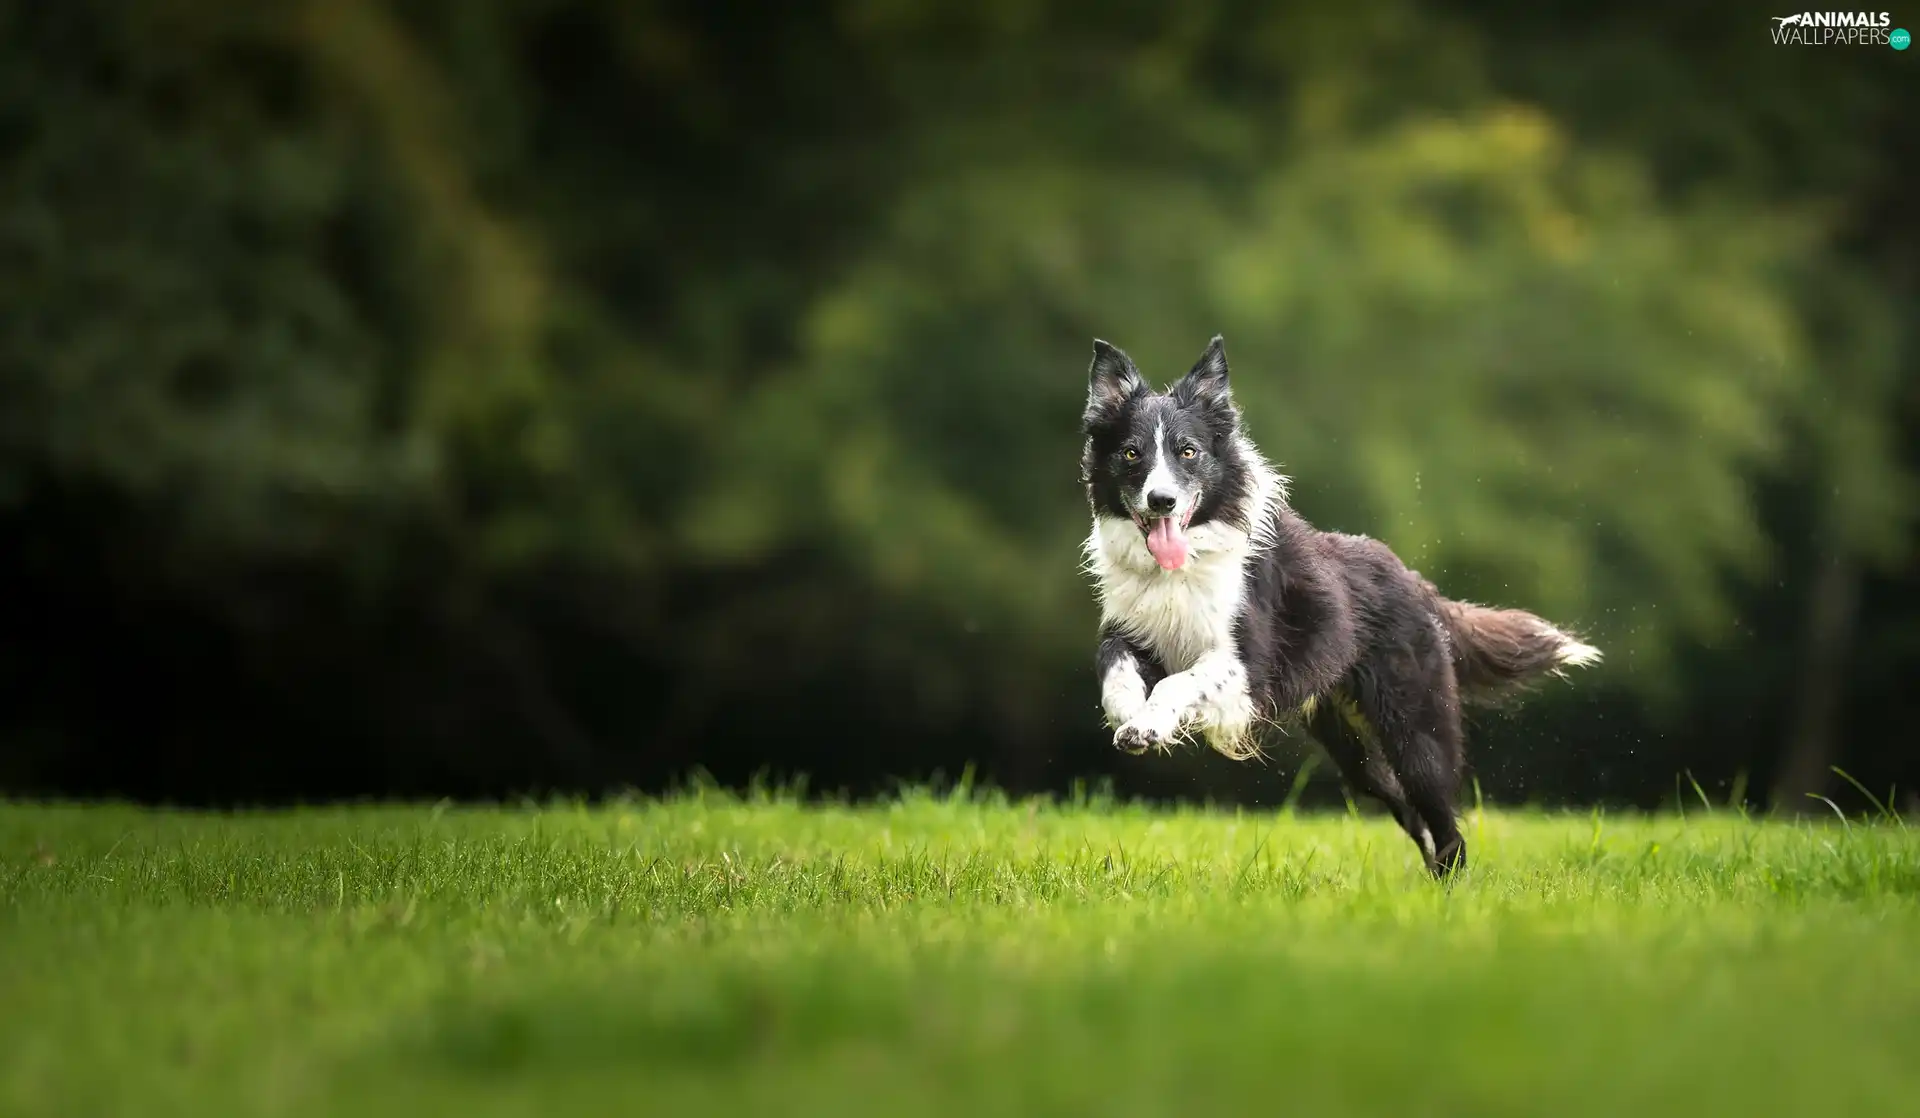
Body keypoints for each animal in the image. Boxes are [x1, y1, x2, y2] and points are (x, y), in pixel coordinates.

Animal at [1082, 338, 1605, 879]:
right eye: (1131, 453)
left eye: (1188, 451)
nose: (1161, 500)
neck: (1181, 564)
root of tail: (1414, 581)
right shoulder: (1130, 631)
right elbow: (1114, 668)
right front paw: (1130, 718)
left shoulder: (1246, 666)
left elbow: (1177, 683)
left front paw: (1149, 724)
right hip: (1352, 749)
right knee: (1408, 811)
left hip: (1416, 731)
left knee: (1446, 825)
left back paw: (1453, 892)